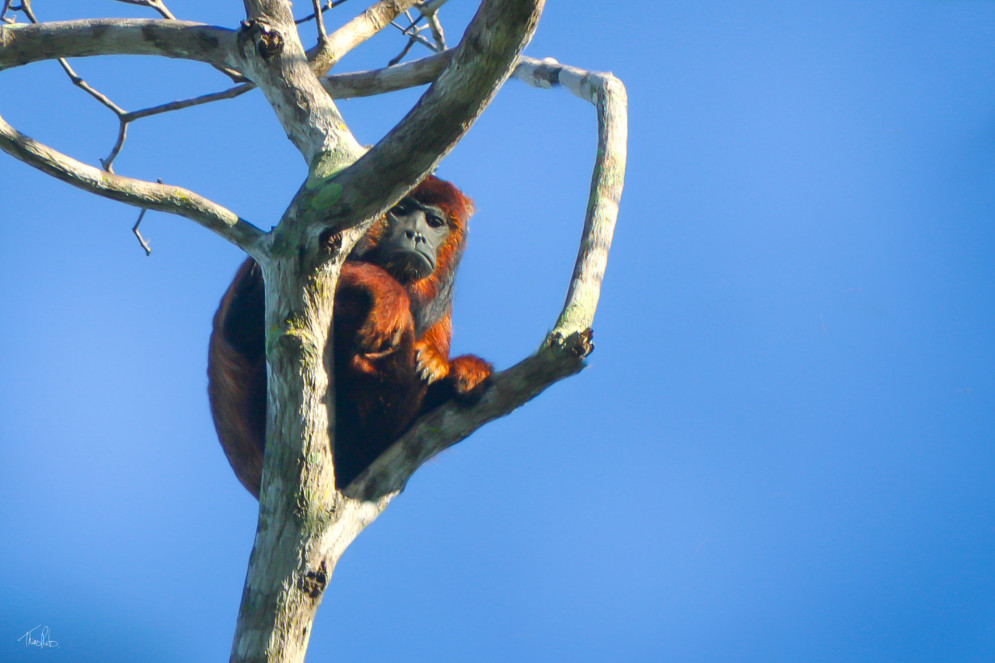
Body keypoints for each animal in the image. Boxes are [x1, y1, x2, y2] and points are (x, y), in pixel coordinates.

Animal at [207, 176, 492, 497]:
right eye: (401, 209)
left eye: (434, 222)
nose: (417, 235)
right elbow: (242, 326)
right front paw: (386, 290)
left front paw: (449, 367)